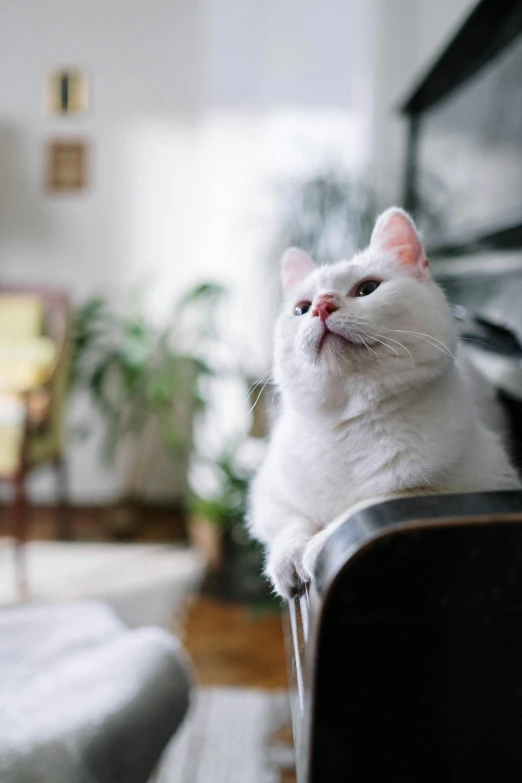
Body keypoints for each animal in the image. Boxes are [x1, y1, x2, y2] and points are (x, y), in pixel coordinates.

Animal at [246, 208, 516, 600]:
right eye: (301, 309)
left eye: (367, 289)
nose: (322, 306)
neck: (347, 424)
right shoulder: (267, 494)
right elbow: (289, 522)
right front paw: (289, 558)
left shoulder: (481, 482)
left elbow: (377, 500)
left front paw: (319, 547)